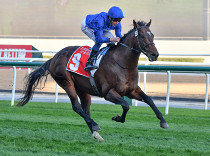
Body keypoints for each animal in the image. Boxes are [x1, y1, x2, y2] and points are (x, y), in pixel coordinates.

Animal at [17, 19, 169, 141]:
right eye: (142, 35)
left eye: (152, 35)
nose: (155, 54)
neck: (123, 64)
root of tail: (54, 57)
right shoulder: (108, 93)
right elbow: (126, 105)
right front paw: (117, 118)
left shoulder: (131, 90)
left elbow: (149, 99)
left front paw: (163, 121)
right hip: (66, 82)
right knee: (76, 107)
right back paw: (95, 126)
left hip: (83, 89)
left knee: (86, 109)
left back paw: (96, 134)